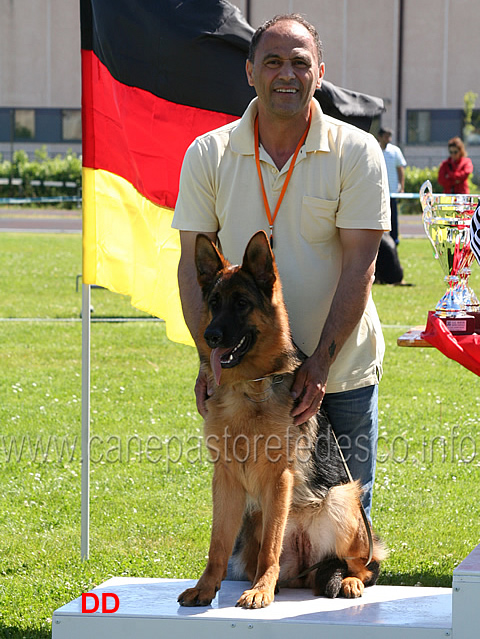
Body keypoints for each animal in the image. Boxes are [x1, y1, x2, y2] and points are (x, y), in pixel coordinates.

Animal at [177, 231, 386, 608]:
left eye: (241, 303)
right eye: (214, 302)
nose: (211, 337)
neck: (247, 387)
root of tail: (304, 569)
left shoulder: (278, 478)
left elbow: (270, 549)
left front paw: (261, 590)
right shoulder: (224, 479)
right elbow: (217, 545)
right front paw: (206, 588)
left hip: (343, 498)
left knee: (364, 564)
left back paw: (348, 581)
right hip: (251, 524)